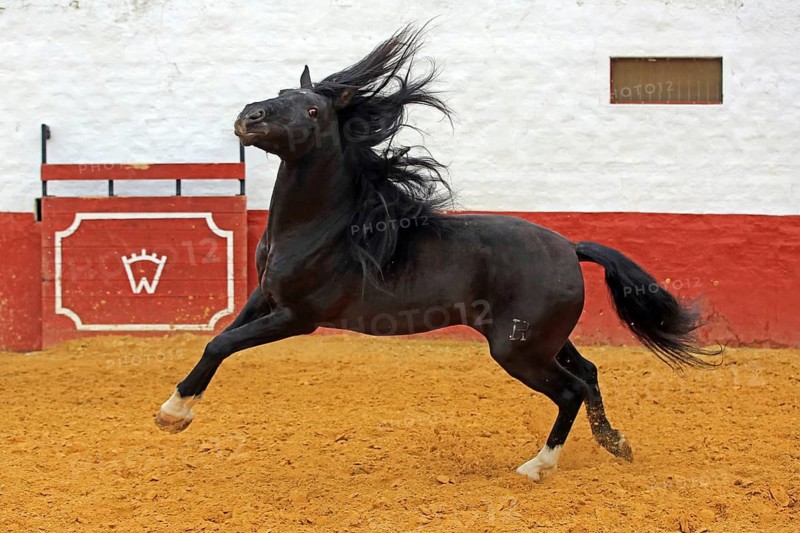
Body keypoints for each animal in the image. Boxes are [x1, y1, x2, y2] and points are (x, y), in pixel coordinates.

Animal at [155, 25, 720, 481]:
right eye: (279, 92)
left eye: (313, 109)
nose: (249, 117)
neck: (324, 229)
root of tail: (569, 247)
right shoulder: (264, 297)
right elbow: (217, 342)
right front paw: (174, 408)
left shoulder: (297, 315)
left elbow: (222, 343)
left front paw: (171, 417)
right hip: (544, 340)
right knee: (590, 373)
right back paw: (615, 443)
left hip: (517, 350)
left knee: (571, 391)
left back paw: (538, 467)